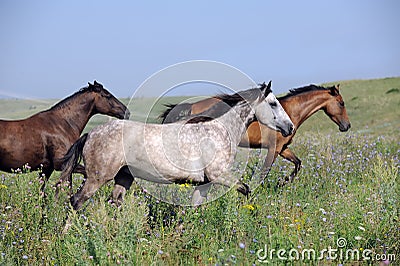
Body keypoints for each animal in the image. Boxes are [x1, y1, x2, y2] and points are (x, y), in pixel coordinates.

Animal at [59, 81, 294, 210]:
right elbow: (245, 189)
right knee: (76, 201)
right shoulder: (220, 176)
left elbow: (193, 209)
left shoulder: (204, 183)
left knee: (114, 202)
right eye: (273, 103)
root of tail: (90, 134)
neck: (220, 130)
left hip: (123, 177)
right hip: (97, 178)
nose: (290, 127)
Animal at [161, 84, 352, 184]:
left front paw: (283, 182)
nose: (347, 126)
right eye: (341, 103)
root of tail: (191, 106)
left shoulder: (283, 149)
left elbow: (298, 163)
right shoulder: (274, 149)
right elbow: (263, 174)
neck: (290, 112)